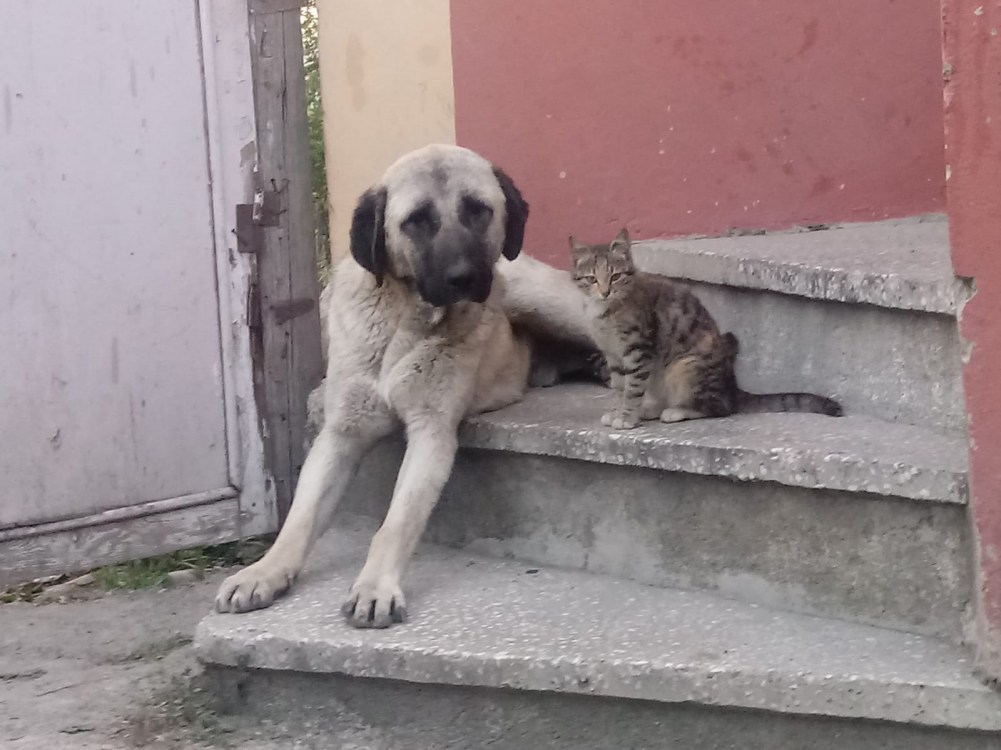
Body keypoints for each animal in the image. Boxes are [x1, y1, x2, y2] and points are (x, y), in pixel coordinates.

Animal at [214, 144, 595, 627]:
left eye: (478, 210)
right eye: (417, 220)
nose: (463, 278)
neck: (403, 318)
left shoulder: (431, 432)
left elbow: (396, 521)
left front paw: (375, 587)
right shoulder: (340, 434)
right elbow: (300, 516)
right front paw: (265, 571)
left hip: (538, 298)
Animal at [569, 228, 842, 429]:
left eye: (615, 276)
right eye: (592, 279)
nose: (605, 292)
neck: (605, 311)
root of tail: (731, 387)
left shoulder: (639, 351)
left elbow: (633, 388)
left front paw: (626, 417)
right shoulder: (613, 356)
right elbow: (619, 387)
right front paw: (617, 411)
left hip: (685, 366)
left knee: (718, 408)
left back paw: (677, 411)